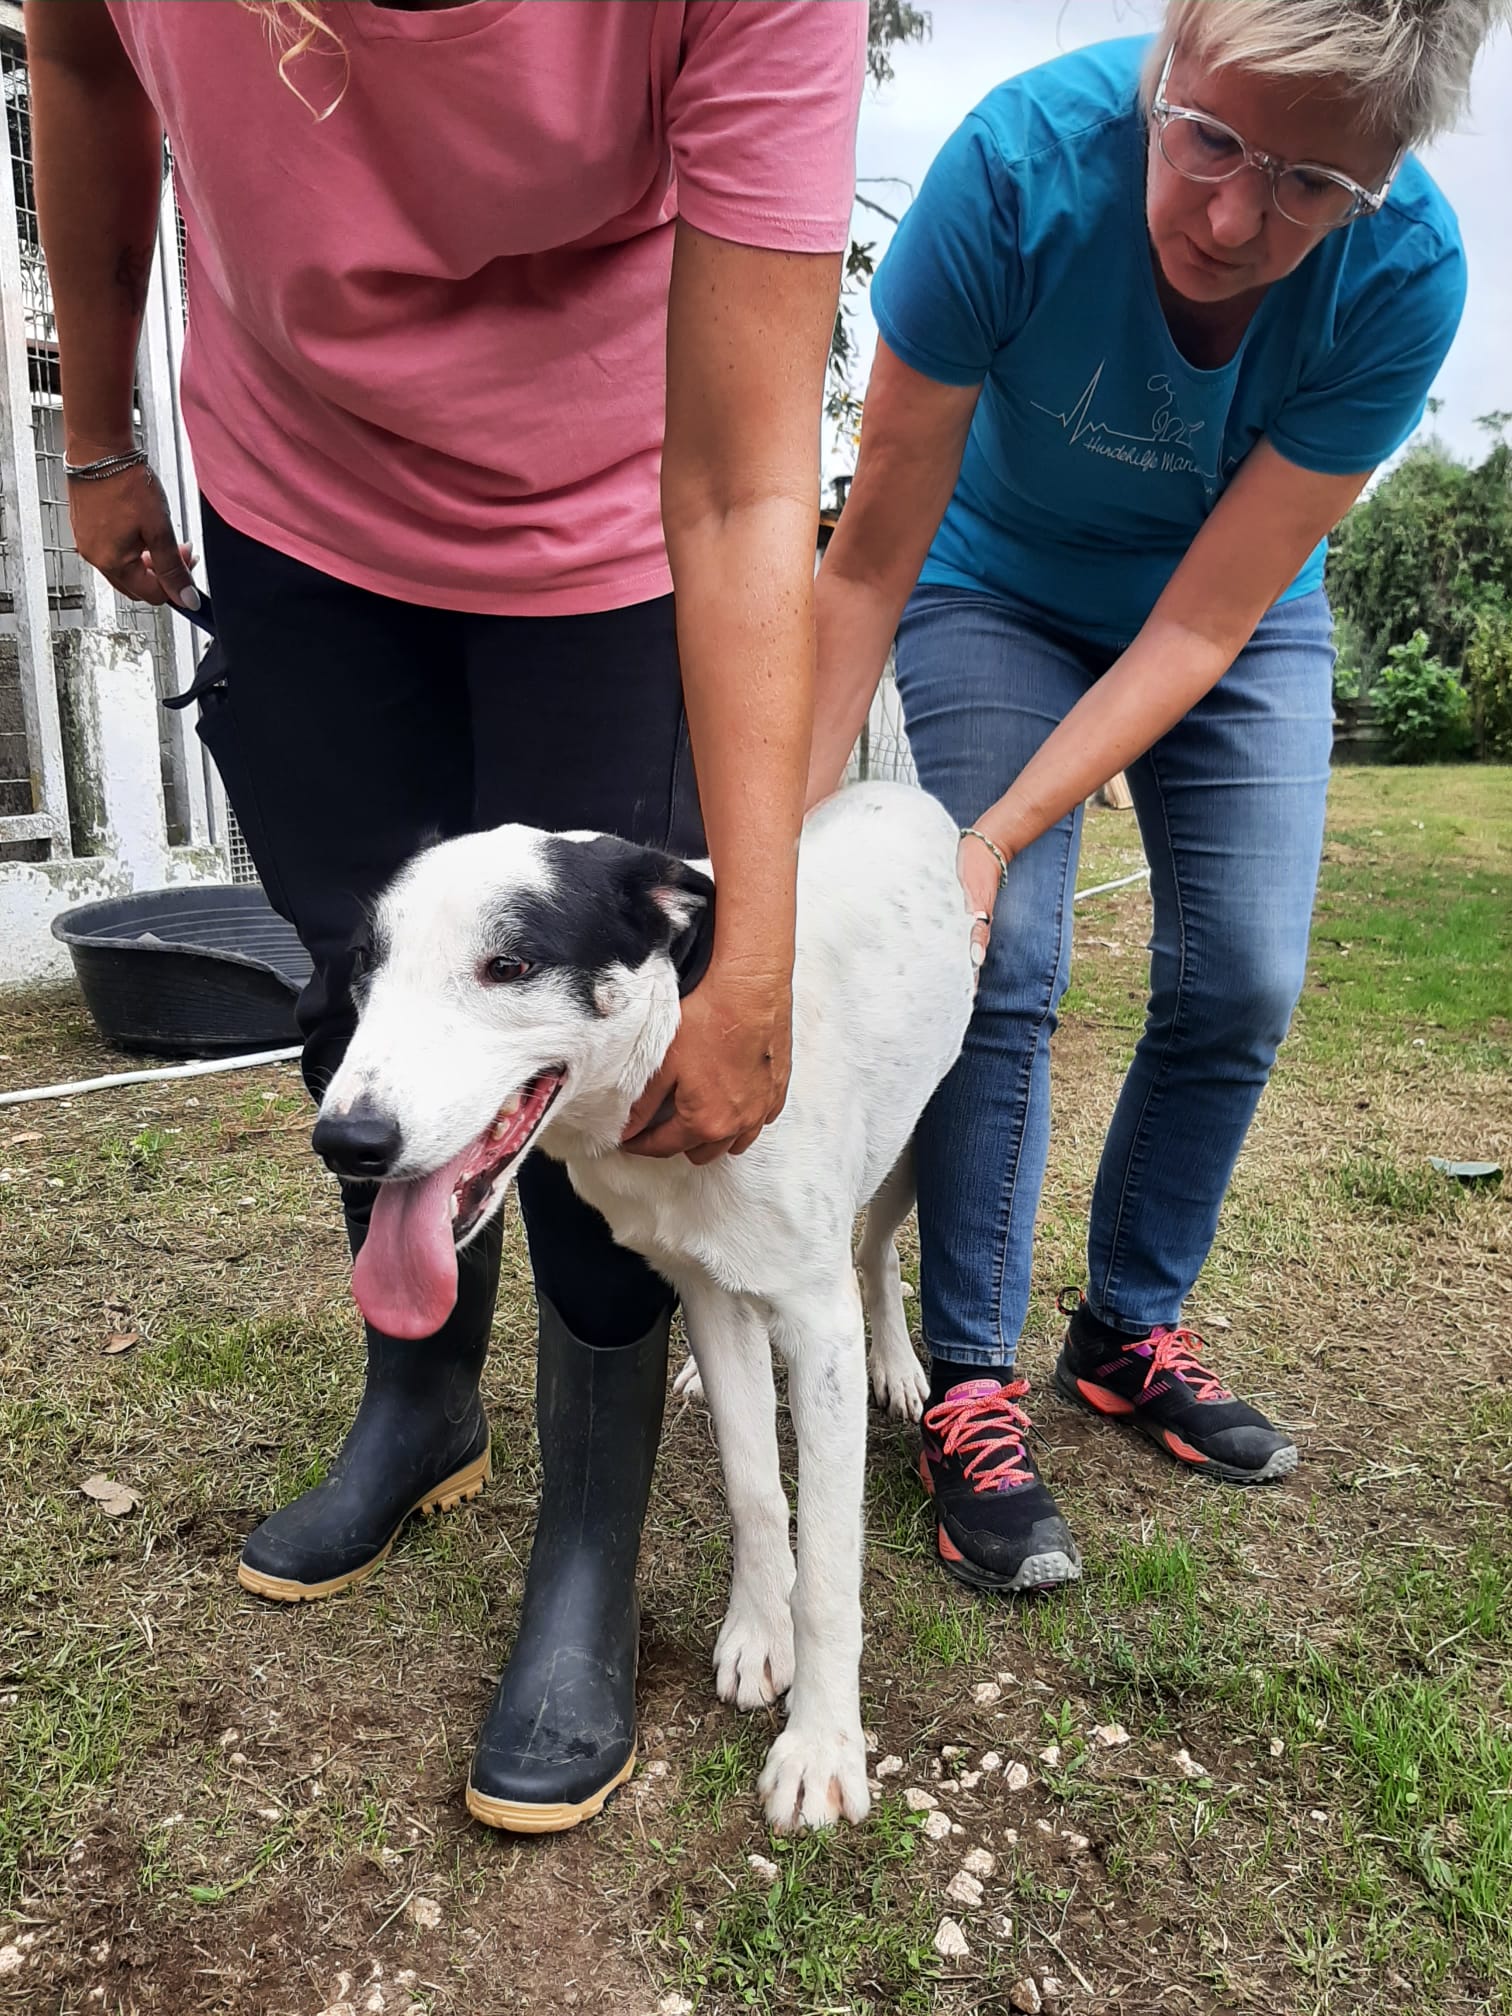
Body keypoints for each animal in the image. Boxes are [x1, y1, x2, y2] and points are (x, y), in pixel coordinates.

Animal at [312, 781, 976, 1831]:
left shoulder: (816, 1322)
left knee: (875, 1250)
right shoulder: (705, 1288)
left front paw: (822, 1745)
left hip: (921, 1137)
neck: (673, 1055)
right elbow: (755, 1489)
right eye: (365, 968)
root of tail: (894, 788)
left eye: (510, 965)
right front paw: (760, 1630)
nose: (347, 1143)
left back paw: (904, 1367)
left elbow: (832, 1569)